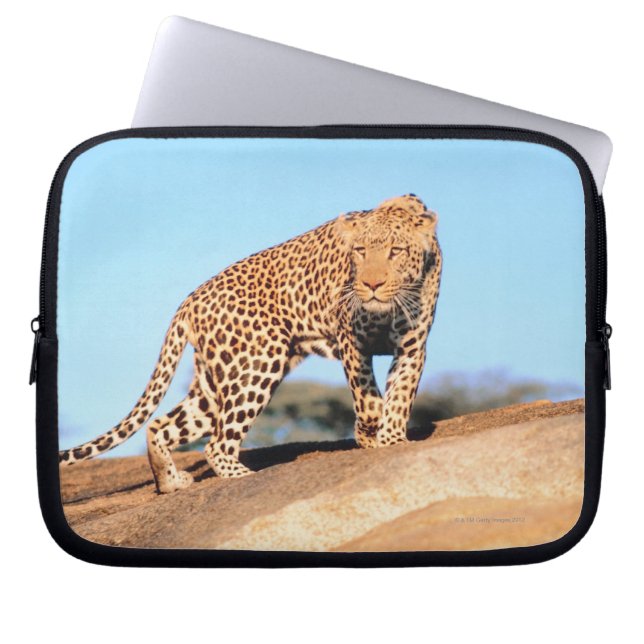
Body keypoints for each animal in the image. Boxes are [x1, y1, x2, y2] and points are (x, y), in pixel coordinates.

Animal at [59, 194, 442, 493]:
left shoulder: (412, 347)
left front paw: (392, 441)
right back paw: (243, 476)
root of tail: (189, 301)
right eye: (360, 251)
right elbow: (368, 400)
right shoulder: (353, 341)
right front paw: (369, 433)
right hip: (258, 362)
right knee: (216, 444)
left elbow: (400, 397)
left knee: (161, 426)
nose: (371, 285)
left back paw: (170, 482)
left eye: (395, 251)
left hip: (214, 383)